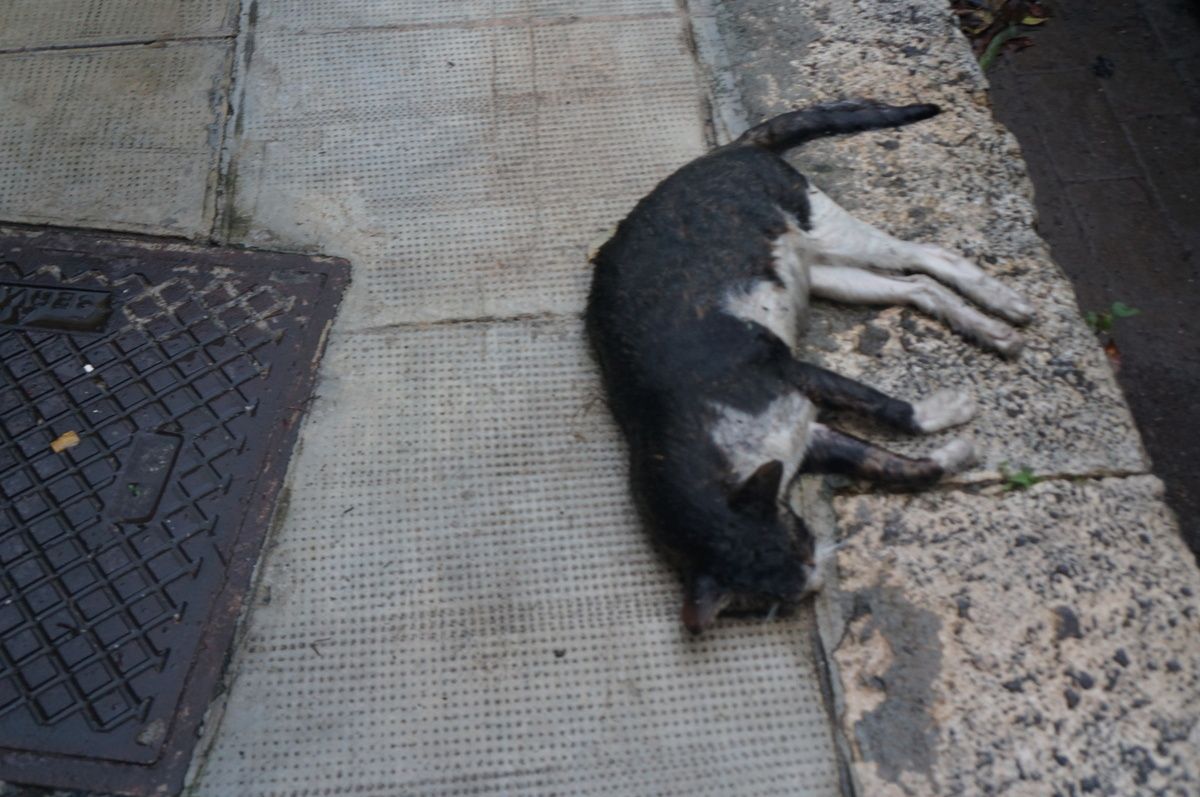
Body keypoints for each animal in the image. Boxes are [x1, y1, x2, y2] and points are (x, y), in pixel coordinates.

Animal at [585, 101, 1036, 633]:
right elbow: (899, 467)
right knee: (918, 287)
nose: (820, 576)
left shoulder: (793, 372)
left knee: (929, 255)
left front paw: (951, 412)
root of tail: (728, 149)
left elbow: (887, 407)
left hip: (828, 228)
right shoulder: (814, 438)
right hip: (826, 272)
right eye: (781, 597)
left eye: (798, 537)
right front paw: (957, 453)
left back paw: (1004, 304)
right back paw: (990, 330)